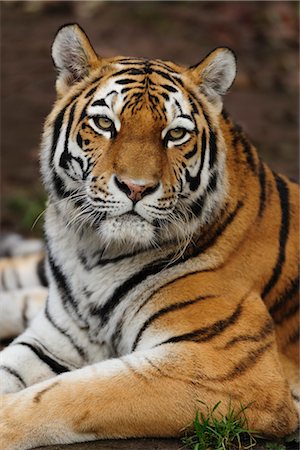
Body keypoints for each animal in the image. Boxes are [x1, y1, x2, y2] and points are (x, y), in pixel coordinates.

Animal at [0, 22, 298, 448]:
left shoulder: (225, 368)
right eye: (105, 124)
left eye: (175, 134)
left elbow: (77, 393)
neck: (94, 255)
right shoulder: (55, 337)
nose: (136, 188)